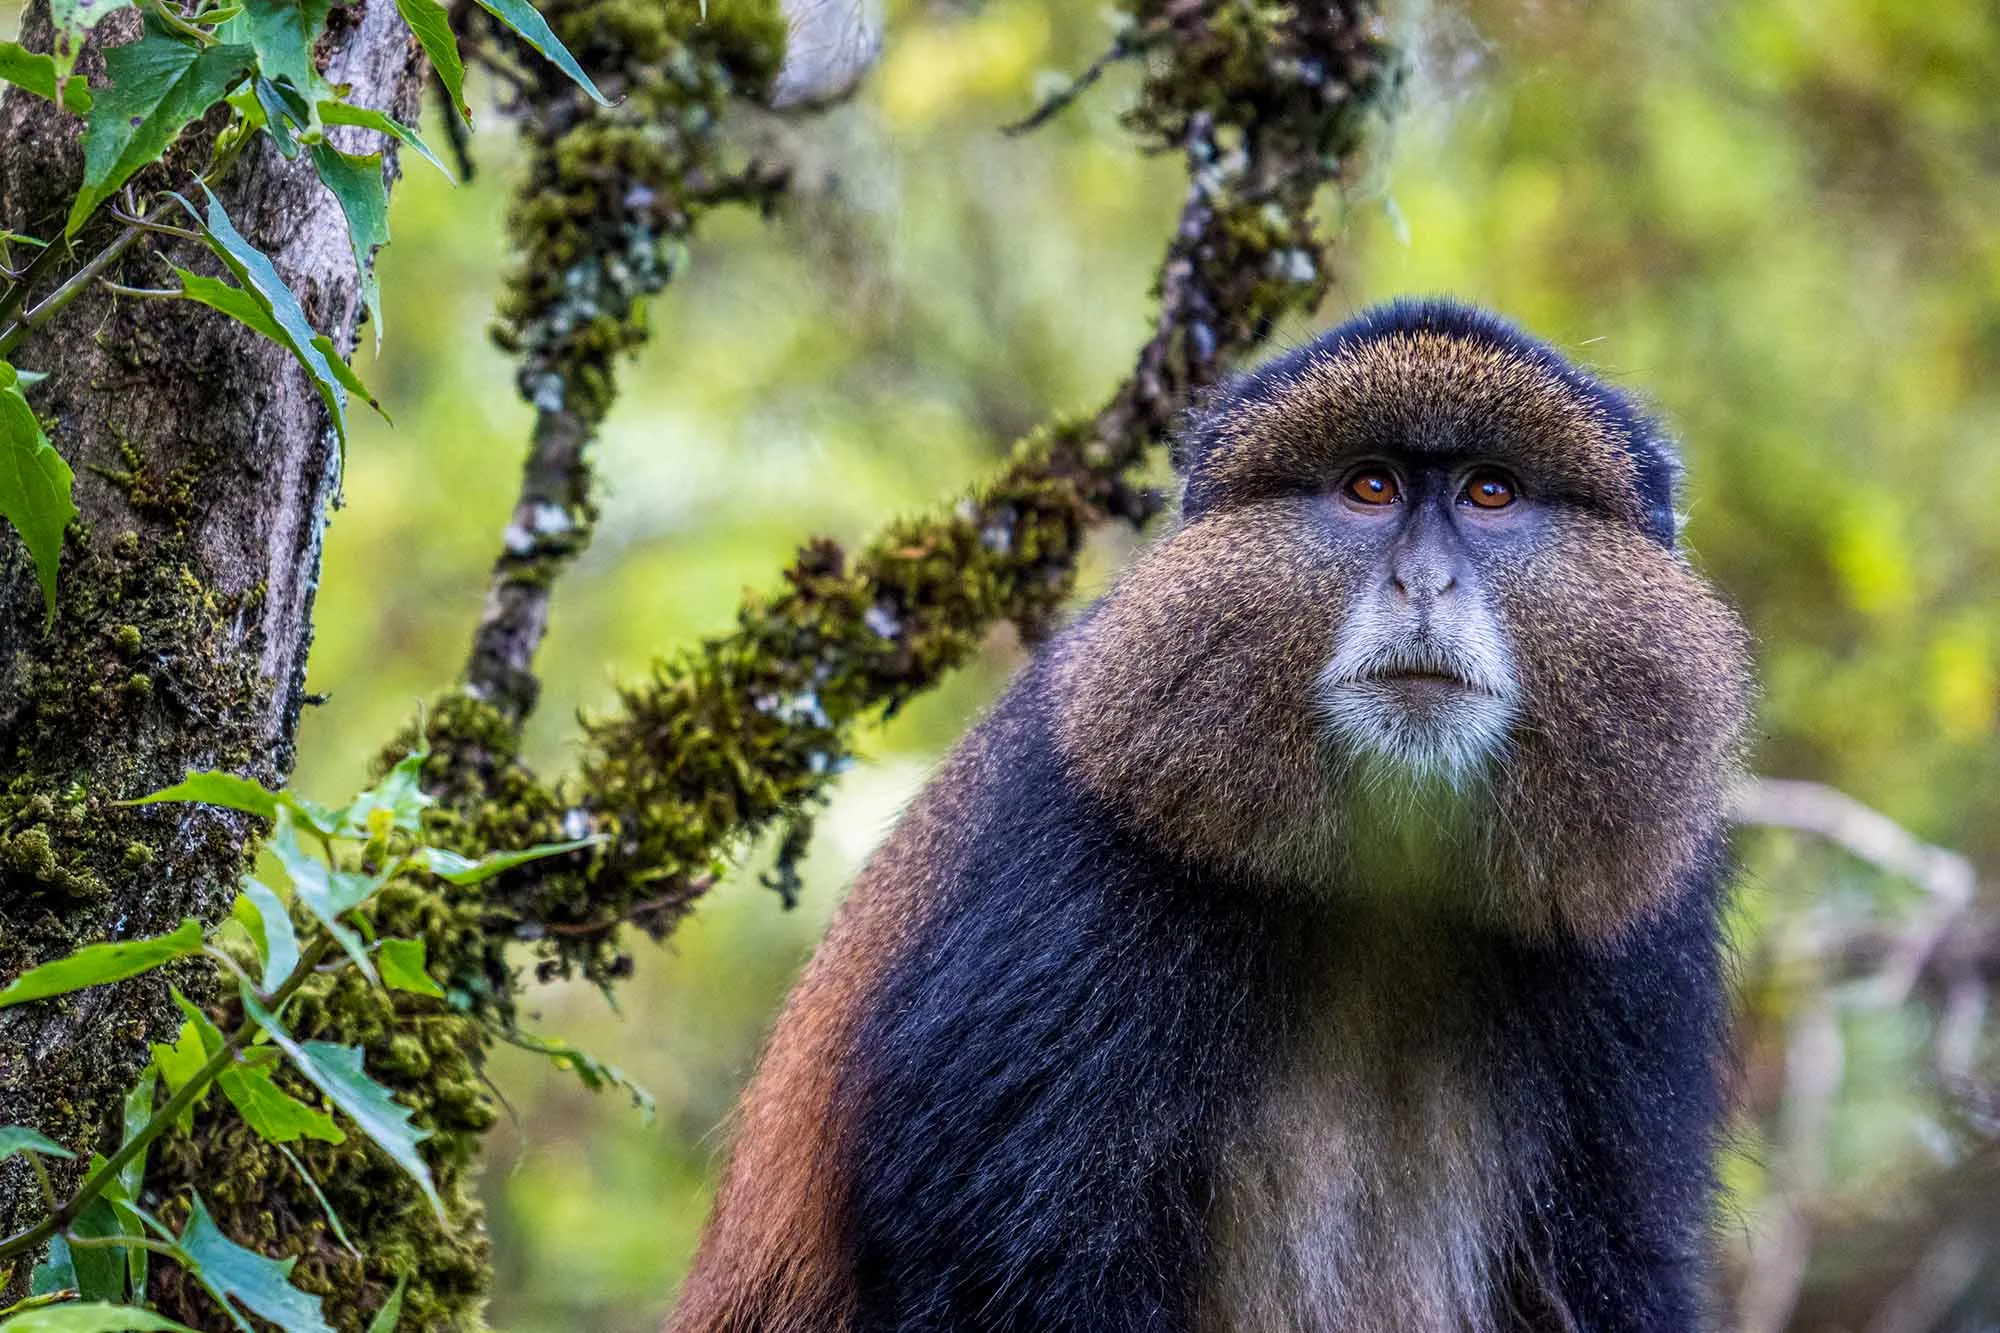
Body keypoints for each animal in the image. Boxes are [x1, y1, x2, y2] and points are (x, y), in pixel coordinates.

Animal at [667, 298, 1754, 1333]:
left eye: (1490, 493)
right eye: (1370, 488)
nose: (1424, 581)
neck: (1382, 890)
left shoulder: (1640, 935)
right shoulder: (1071, 871)